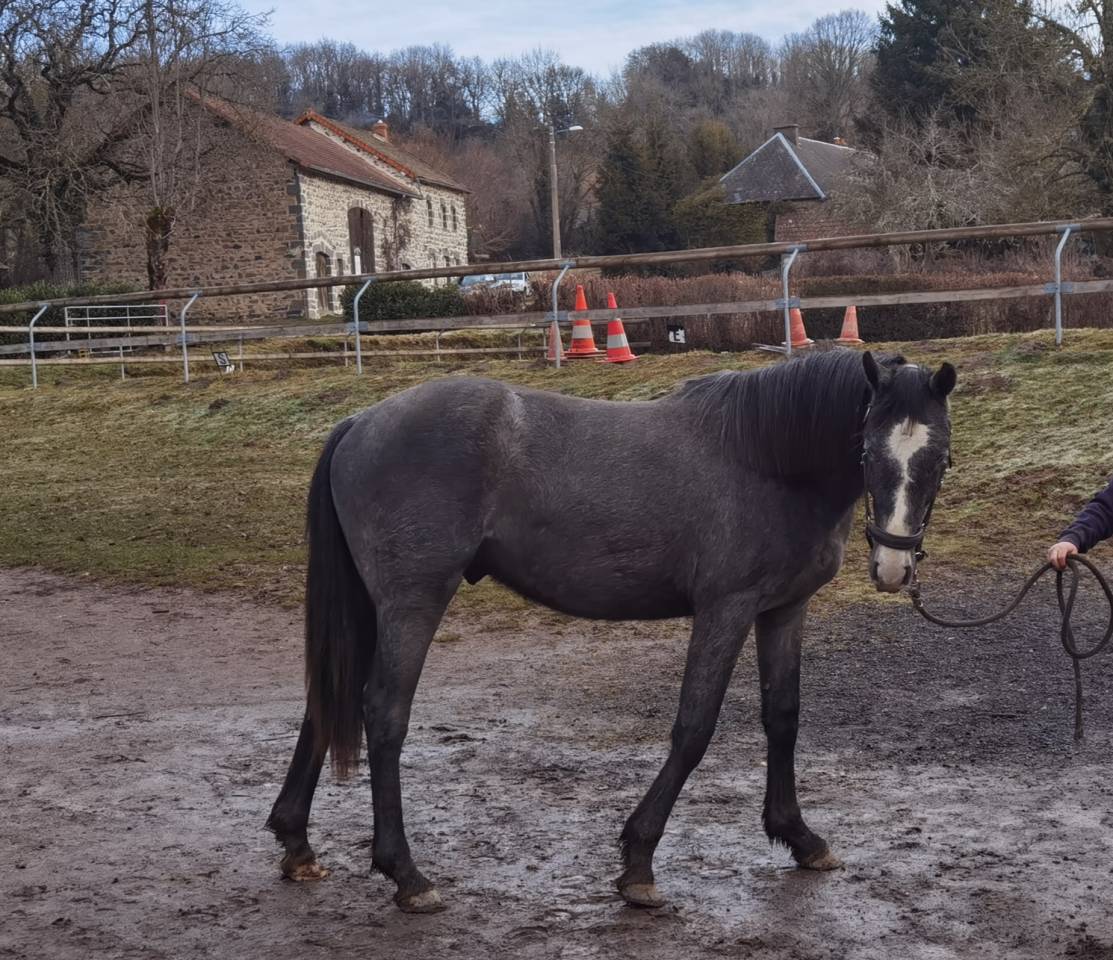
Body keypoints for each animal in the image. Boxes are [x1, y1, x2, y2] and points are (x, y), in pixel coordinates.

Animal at [266, 347, 957, 913]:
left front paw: (799, 837)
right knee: (383, 712)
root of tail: (360, 422)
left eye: (939, 458)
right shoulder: (726, 609)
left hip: (369, 605)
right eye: (867, 450)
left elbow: (782, 717)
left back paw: (298, 844)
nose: (893, 566)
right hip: (412, 602)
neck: (767, 458)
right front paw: (639, 862)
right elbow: (694, 727)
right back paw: (407, 876)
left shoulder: (783, 611)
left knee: (325, 701)